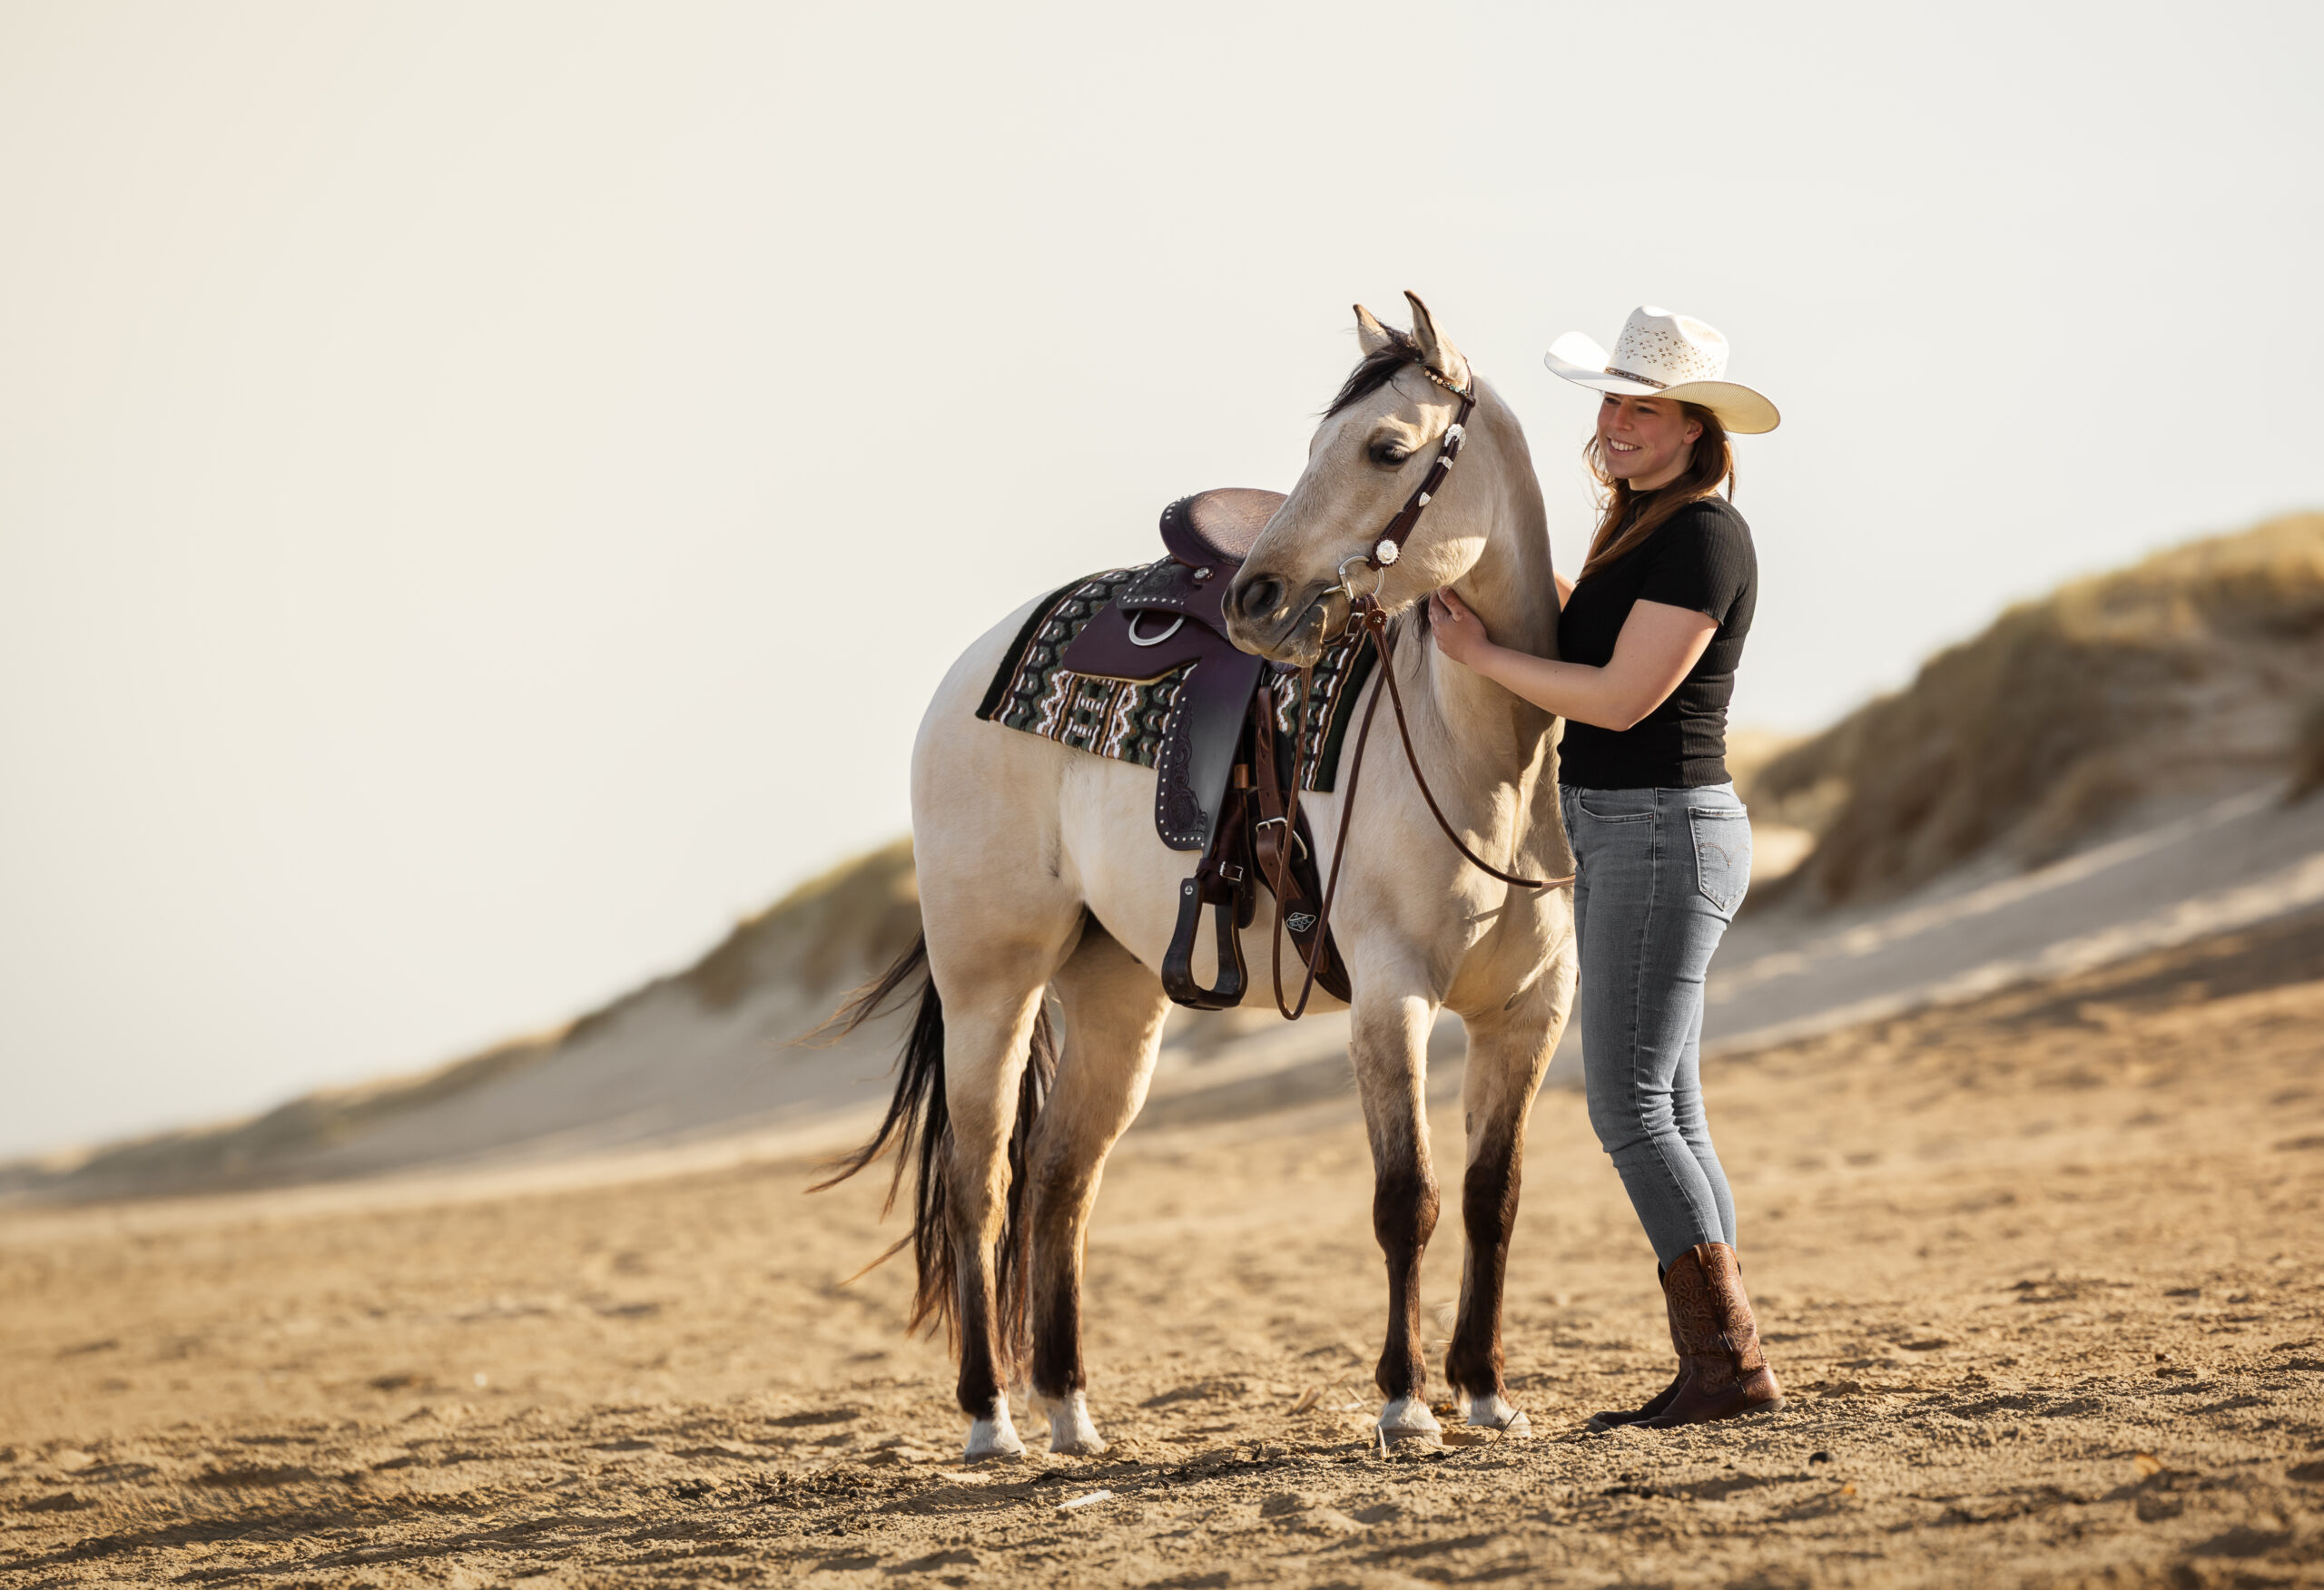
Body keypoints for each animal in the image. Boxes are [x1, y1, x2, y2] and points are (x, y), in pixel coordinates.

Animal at [823, 293, 1578, 1458]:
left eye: (1386, 447)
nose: (1257, 598)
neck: (1483, 749)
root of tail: (970, 671)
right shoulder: (1393, 996)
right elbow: (1404, 1198)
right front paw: (1405, 1404)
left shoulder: (1527, 1011)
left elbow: (1491, 1196)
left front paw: (1488, 1392)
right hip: (991, 987)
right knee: (979, 1186)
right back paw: (990, 1419)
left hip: (1116, 997)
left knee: (1059, 1185)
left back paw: (1068, 1411)